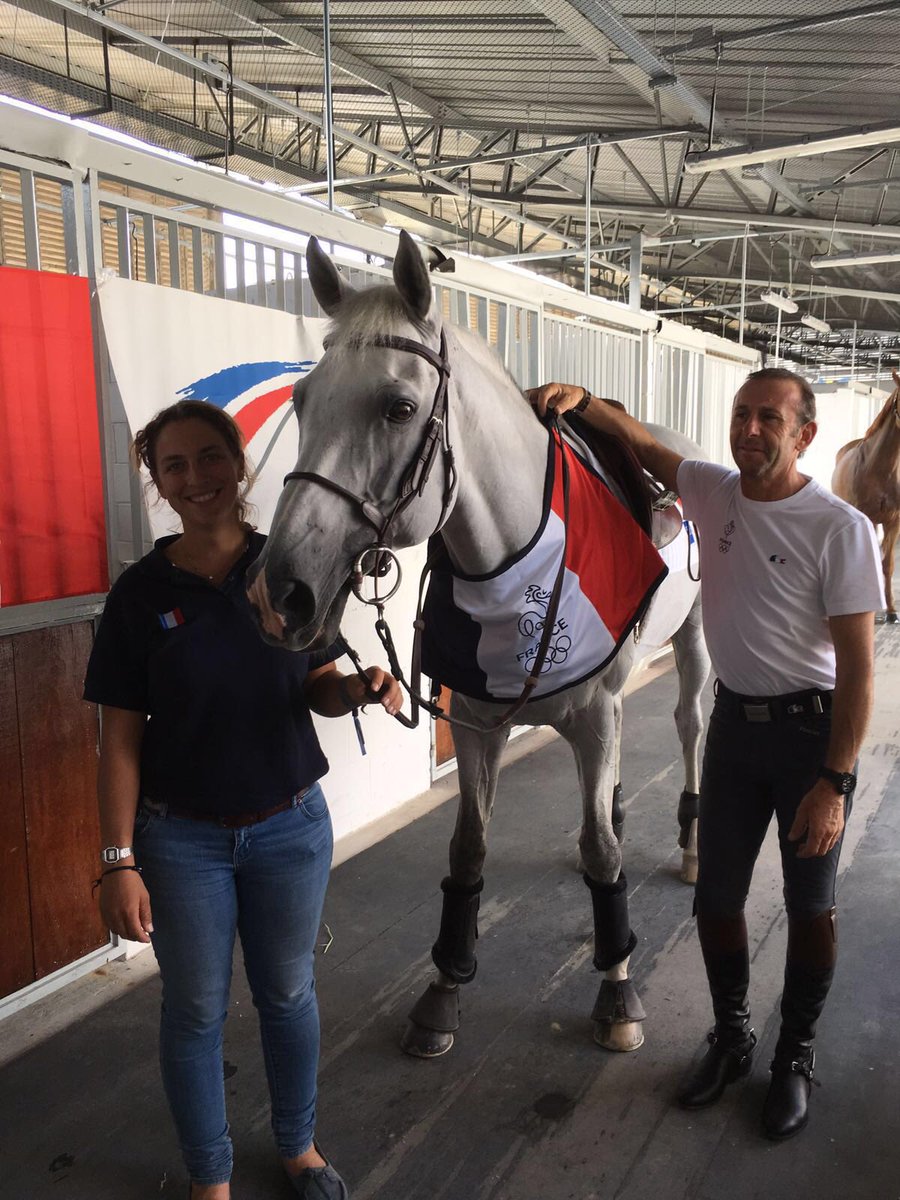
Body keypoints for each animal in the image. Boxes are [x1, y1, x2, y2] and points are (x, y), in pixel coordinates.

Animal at [247, 231, 710, 1057]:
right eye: (300, 403)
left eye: (399, 408)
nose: (282, 593)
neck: (520, 555)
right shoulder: (476, 721)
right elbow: (468, 848)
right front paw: (443, 989)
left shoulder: (592, 716)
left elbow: (601, 853)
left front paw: (617, 991)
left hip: (691, 639)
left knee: (690, 722)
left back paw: (688, 846)